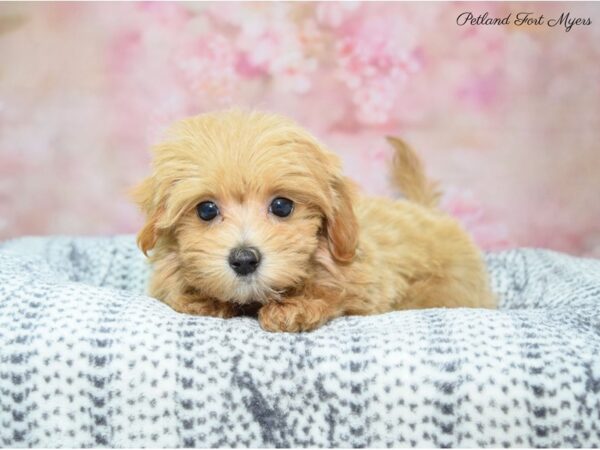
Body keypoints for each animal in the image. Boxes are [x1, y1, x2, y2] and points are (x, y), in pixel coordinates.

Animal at [134, 110, 494, 332]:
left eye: (281, 206)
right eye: (206, 210)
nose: (244, 259)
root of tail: (429, 211)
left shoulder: (368, 287)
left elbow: (334, 292)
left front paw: (295, 307)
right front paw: (200, 298)